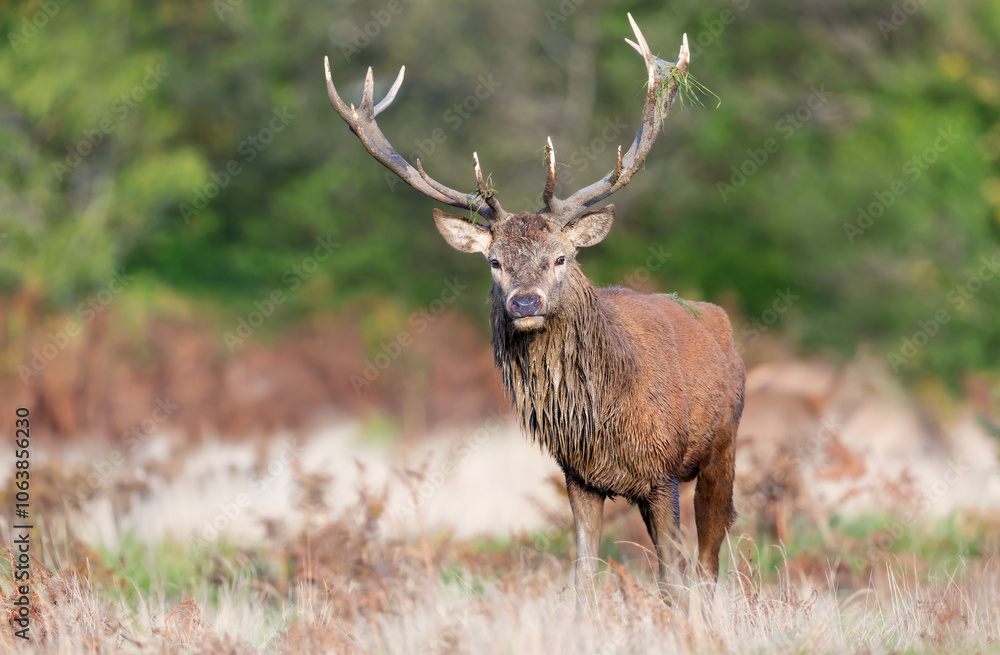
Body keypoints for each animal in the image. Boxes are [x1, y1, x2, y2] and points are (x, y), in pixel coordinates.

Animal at [323, 14, 745, 607]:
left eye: (561, 256)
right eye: (495, 261)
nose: (526, 302)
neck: (603, 414)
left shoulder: (662, 471)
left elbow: (674, 578)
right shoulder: (578, 475)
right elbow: (584, 575)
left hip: (722, 445)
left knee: (708, 559)